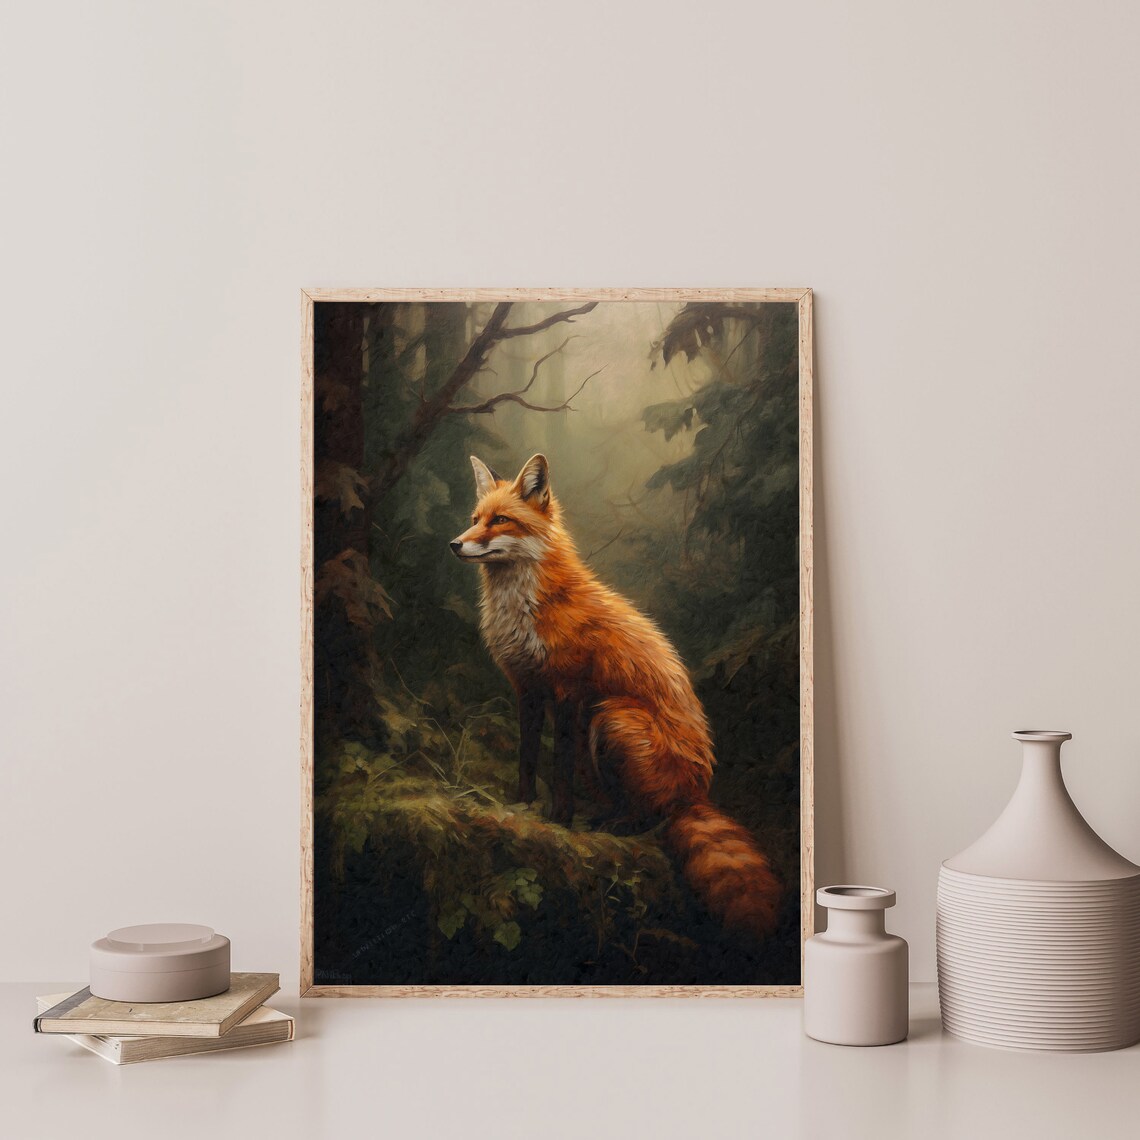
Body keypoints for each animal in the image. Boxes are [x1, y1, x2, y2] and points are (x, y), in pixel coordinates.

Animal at [449, 452, 783, 942]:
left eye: (501, 521)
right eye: (475, 520)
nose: (454, 544)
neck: (527, 607)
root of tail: (696, 792)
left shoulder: (567, 692)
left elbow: (558, 765)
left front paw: (560, 818)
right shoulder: (527, 689)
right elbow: (528, 756)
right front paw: (523, 804)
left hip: (612, 717)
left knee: (654, 815)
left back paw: (620, 824)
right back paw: (606, 815)